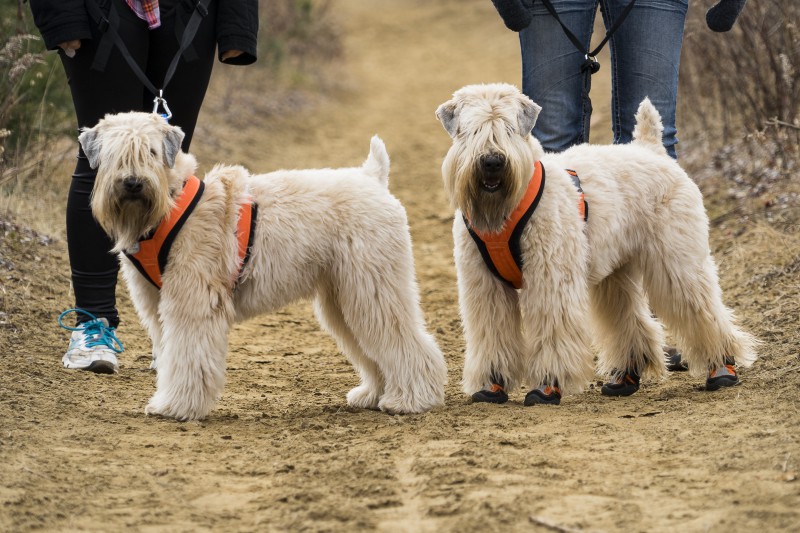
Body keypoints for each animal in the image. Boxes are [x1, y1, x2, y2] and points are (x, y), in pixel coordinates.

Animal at [80, 111, 446, 420]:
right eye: (113, 153)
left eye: (153, 152)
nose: (132, 183)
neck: (170, 202)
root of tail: (372, 178)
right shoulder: (158, 306)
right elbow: (171, 356)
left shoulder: (192, 303)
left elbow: (188, 358)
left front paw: (176, 406)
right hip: (344, 299)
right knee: (374, 348)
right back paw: (373, 393)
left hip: (373, 289)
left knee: (408, 343)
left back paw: (411, 399)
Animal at [438, 83, 756, 406]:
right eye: (471, 129)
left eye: (510, 128)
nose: (492, 161)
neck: (502, 212)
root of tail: (651, 150)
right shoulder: (485, 286)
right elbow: (492, 334)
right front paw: (493, 383)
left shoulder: (549, 278)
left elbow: (551, 329)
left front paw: (547, 384)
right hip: (616, 273)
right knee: (631, 319)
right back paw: (626, 376)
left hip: (678, 263)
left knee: (704, 312)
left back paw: (721, 367)